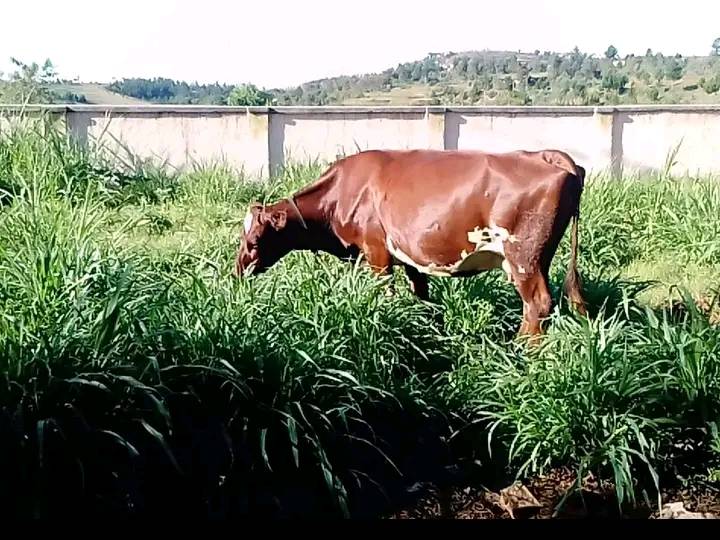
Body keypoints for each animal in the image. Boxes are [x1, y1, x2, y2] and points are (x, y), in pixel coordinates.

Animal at [234, 148, 587, 336]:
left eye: (253, 240)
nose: (238, 271)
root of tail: (547, 156)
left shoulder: (376, 251)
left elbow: (385, 294)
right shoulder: (409, 255)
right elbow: (421, 295)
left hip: (523, 256)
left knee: (537, 304)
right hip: (535, 258)